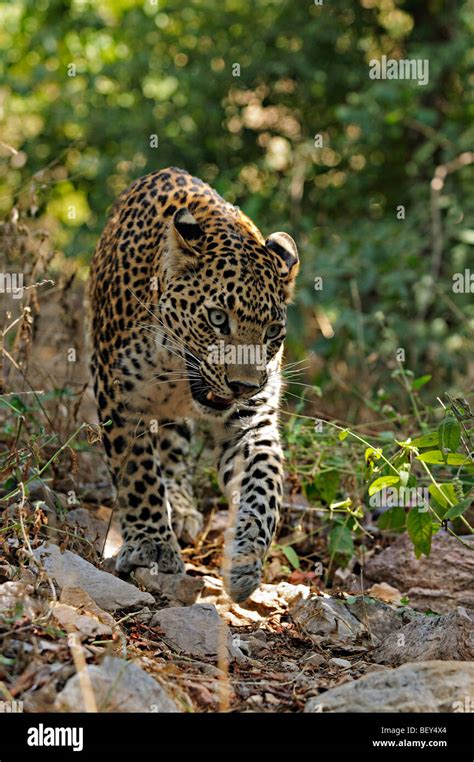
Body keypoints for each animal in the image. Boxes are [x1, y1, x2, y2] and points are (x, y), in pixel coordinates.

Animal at [87, 166, 298, 600]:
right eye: (217, 319)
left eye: (271, 331)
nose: (243, 386)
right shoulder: (117, 391)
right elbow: (138, 471)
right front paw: (151, 545)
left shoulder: (251, 420)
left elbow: (263, 485)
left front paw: (245, 559)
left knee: (173, 448)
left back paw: (182, 509)